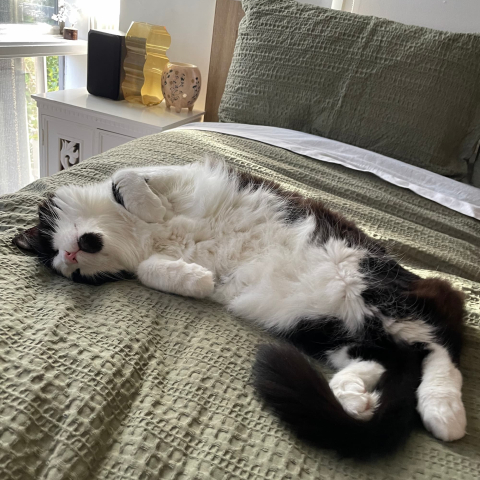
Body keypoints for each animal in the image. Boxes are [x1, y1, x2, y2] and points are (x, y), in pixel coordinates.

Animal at [14, 161, 464, 458]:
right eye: (70, 272)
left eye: (56, 248)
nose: (70, 257)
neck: (131, 235)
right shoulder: (144, 260)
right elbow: (148, 270)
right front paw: (196, 279)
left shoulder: (178, 174)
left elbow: (130, 178)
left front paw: (149, 206)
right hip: (324, 328)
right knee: (387, 360)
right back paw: (353, 399)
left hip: (374, 288)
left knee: (441, 344)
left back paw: (442, 410)